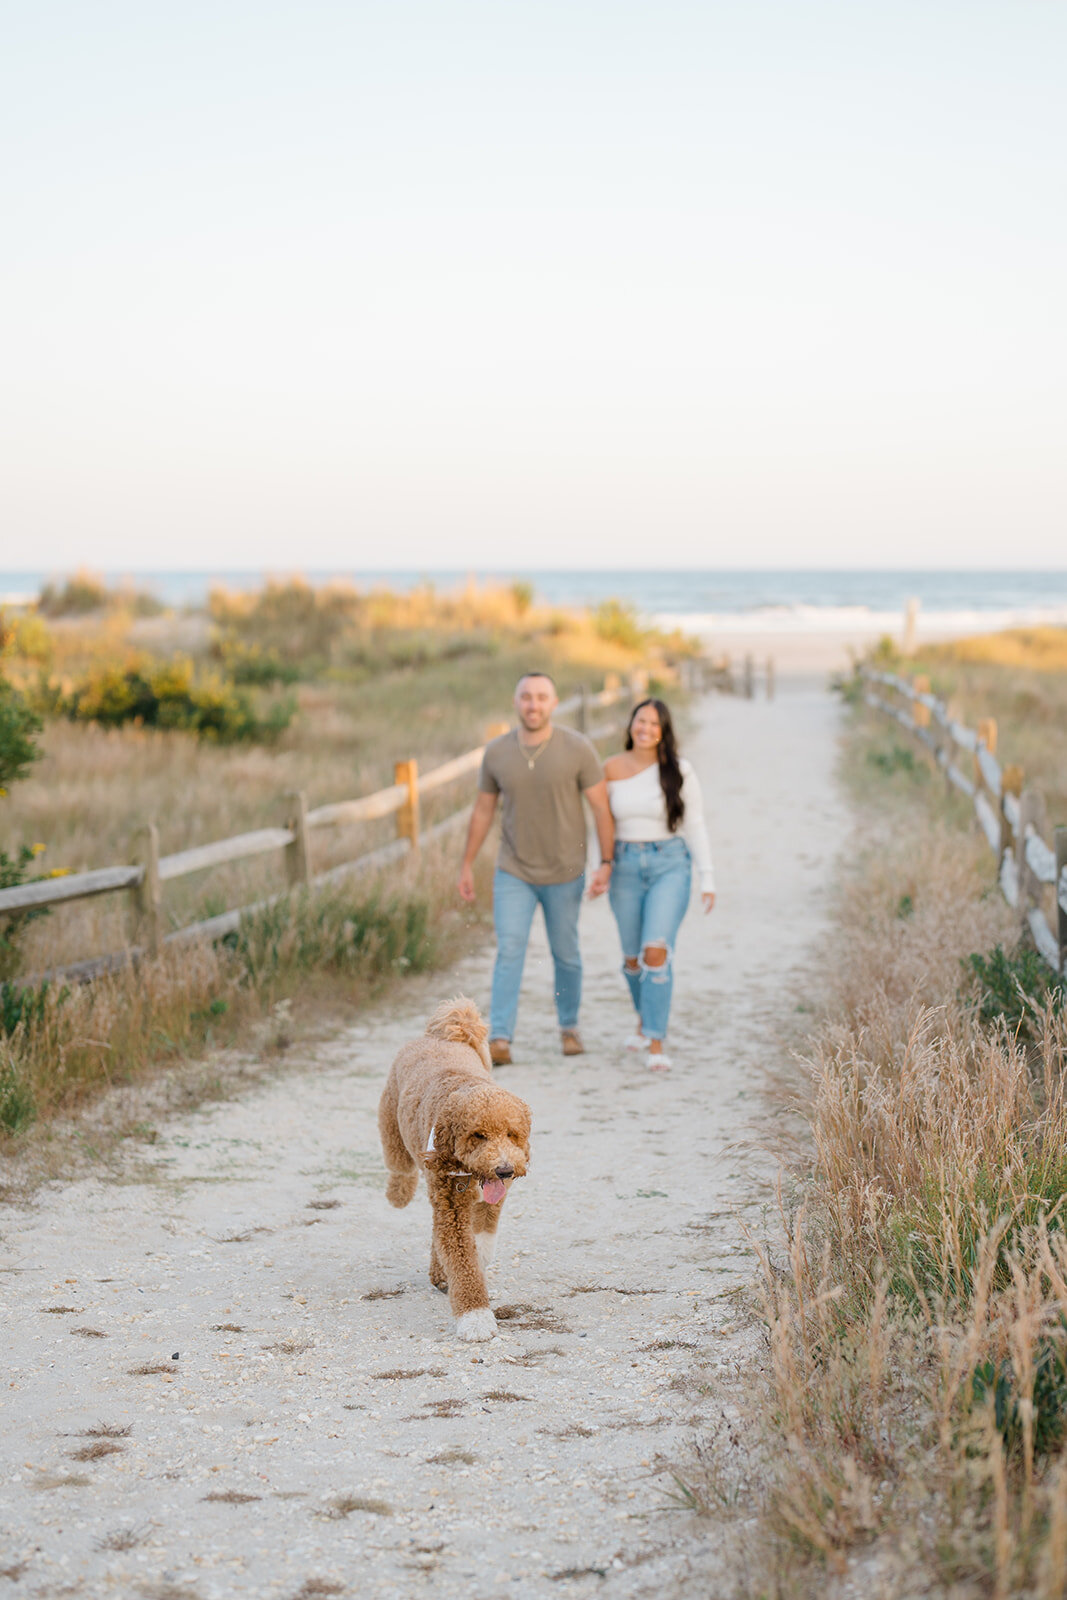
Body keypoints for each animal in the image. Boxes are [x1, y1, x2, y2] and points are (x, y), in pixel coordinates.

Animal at [379, 992, 534, 1344]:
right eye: (478, 1135)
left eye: (511, 1134)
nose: (504, 1169)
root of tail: (441, 1036)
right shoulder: (450, 1205)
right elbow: (462, 1260)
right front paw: (475, 1319)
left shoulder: (488, 1196)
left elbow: (482, 1232)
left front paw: (480, 1254)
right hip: (391, 1124)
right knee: (398, 1164)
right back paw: (398, 1193)